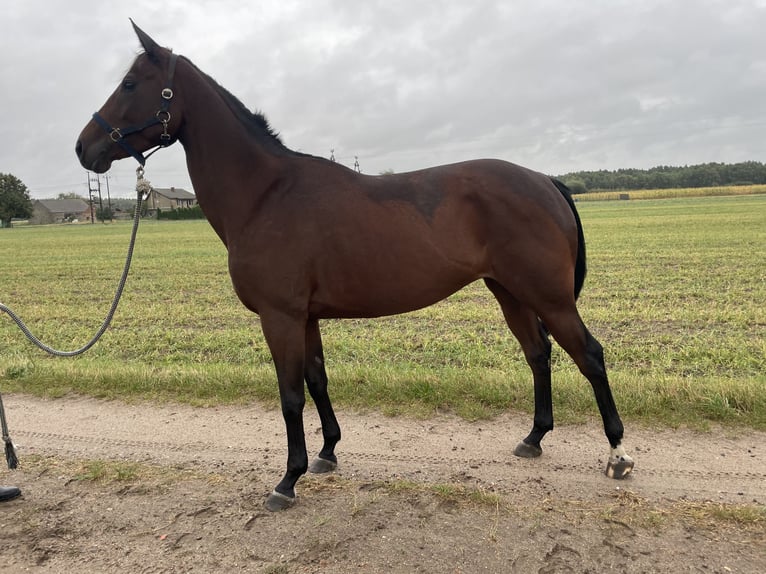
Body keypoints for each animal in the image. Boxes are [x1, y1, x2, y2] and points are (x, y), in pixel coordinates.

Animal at [76, 23, 636, 512]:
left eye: (130, 83)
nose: (84, 148)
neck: (266, 194)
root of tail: (544, 180)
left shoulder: (279, 317)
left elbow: (290, 395)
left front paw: (287, 480)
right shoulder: (305, 317)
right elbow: (317, 380)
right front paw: (326, 453)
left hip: (549, 297)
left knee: (589, 356)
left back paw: (618, 454)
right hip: (510, 292)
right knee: (539, 354)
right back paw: (534, 438)